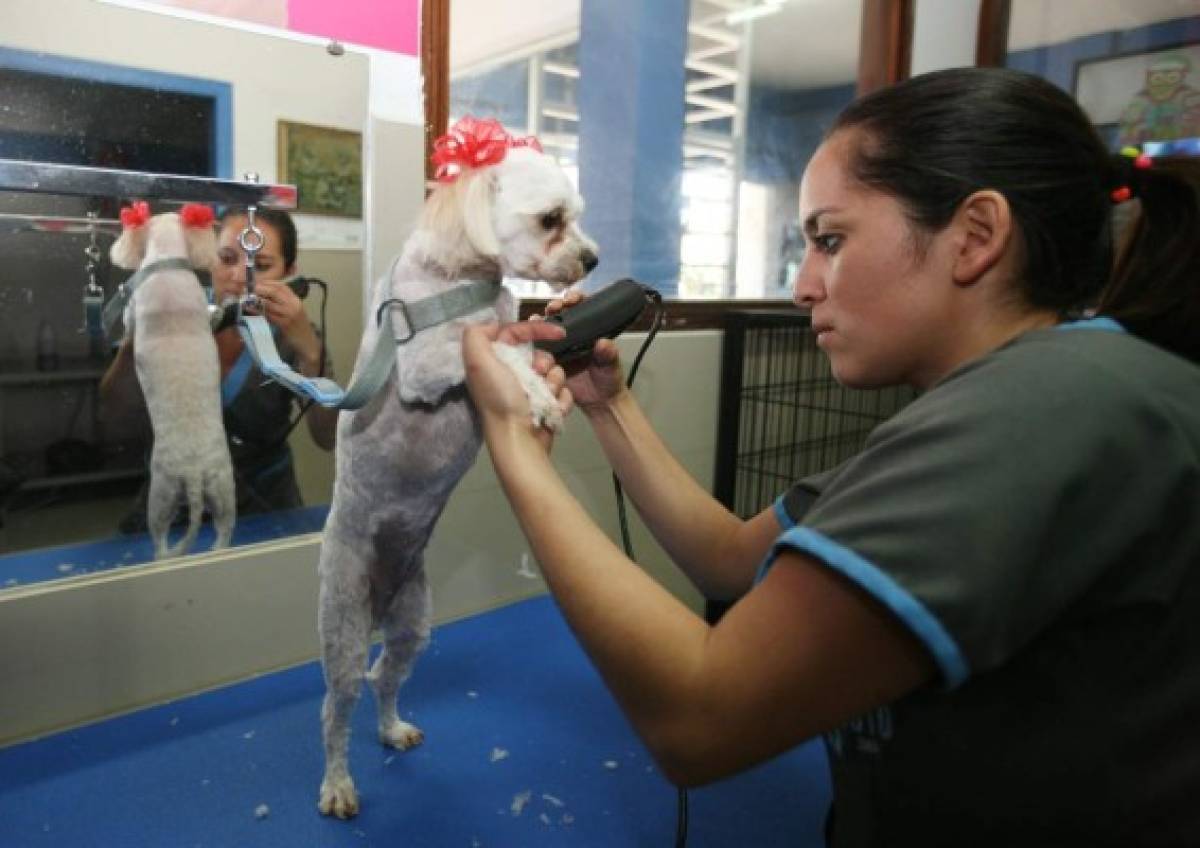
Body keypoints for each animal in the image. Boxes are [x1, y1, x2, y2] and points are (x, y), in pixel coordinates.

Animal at [110, 205, 236, 561]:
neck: (167, 259)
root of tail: (193, 472)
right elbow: (210, 315)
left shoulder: (134, 309)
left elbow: (128, 321)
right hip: (222, 488)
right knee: (224, 529)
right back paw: (217, 549)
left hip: (161, 494)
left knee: (160, 536)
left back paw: (161, 556)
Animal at [319, 119, 600, 815]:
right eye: (551, 219)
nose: (592, 260)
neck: (463, 283)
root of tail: (379, 597)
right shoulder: (426, 367)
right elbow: (498, 352)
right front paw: (534, 393)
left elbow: (512, 338)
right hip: (341, 628)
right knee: (337, 708)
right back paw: (337, 784)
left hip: (413, 624)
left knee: (386, 682)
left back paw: (393, 728)